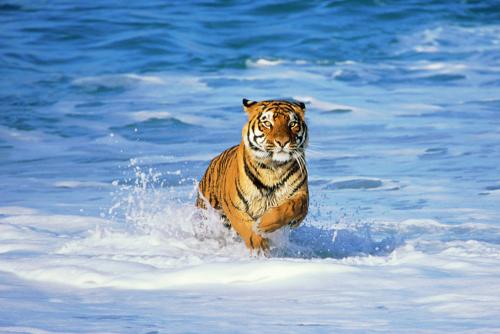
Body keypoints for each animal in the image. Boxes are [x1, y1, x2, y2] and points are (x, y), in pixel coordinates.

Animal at [196, 98, 308, 253]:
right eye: (267, 123)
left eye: (292, 124)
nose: (283, 142)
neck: (273, 168)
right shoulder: (235, 207)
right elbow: (247, 230)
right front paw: (259, 249)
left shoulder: (302, 197)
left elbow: (290, 207)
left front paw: (264, 224)